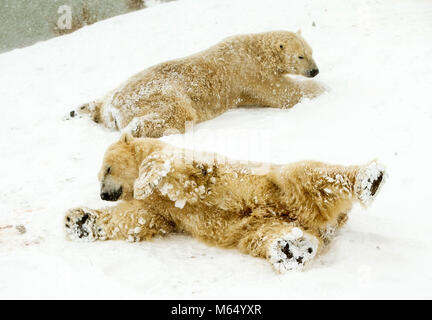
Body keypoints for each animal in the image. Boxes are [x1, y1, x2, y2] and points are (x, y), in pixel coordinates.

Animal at [66, 135, 386, 272]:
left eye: (107, 169)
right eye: (100, 176)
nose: (103, 195)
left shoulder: (184, 159)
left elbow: (176, 170)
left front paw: (148, 178)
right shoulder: (160, 211)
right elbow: (138, 217)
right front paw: (78, 221)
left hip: (277, 187)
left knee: (306, 176)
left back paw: (369, 179)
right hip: (258, 225)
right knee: (265, 236)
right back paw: (291, 249)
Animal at [68, 30, 324, 139]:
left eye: (312, 51)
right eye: (300, 56)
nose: (315, 71)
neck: (255, 50)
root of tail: (113, 107)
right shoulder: (249, 72)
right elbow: (283, 93)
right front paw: (324, 88)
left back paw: (82, 109)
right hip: (156, 93)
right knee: (178, 113)